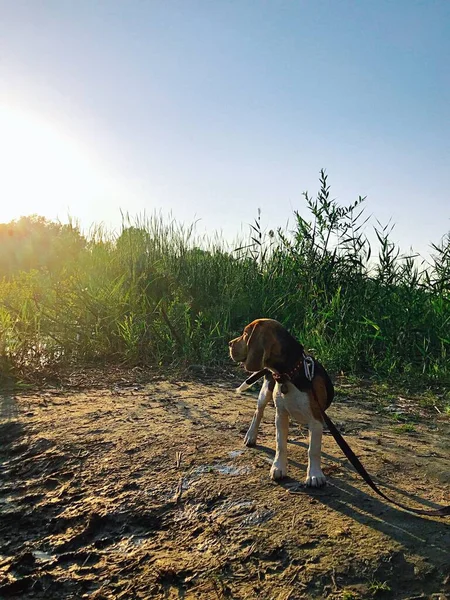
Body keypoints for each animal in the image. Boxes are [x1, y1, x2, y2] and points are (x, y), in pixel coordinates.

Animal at [230, 318, 332, 488]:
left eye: (245, 334)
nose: (229, 344)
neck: (289, 374)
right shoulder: (281, 414)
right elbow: (280, 444)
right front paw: (278, 467)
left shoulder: (316, 419)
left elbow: (313, 449)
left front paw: (314, 474)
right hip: (265, 392)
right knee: (258, 412)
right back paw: (251, 435)